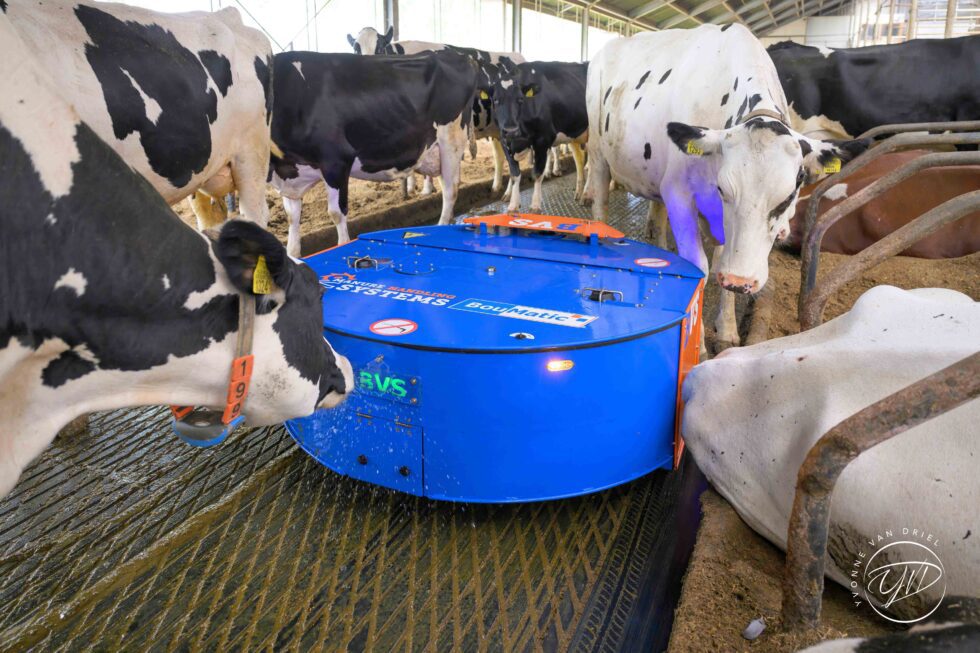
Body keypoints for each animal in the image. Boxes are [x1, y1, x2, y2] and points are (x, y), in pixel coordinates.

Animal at [269, 51, 478, 256]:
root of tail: (458, 55)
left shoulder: (336, 161)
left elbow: (336, 214)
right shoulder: (289, 172)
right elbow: (292, 220)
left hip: (450, 142)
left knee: (450, 191)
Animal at [348, 26, 525, 197]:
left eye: (379, 48)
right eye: (356, 50)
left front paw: (426, 189)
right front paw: (411, 188)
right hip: (495, 129)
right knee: (499, 156)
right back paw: (496, 187)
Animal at [492, 61, 589, 212]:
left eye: (520, 99)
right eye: (495, 100)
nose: (511, 130)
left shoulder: (543, 139)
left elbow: (537, 173)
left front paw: (535, 206)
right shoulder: (504, 141)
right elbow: (515, 174)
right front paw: (513, 205)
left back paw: (587, 195)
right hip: (575, 134)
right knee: (579, 159)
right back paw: (579, 193)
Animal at [586, 25, 868, 350]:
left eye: (788, 197)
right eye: (723, 189)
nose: (741, 281)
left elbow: (721, 260)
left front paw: (728, 328)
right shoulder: (679, 192)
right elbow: (700, 267)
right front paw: (699, 345)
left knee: (657, 220)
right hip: (598, 153)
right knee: (600, 206)